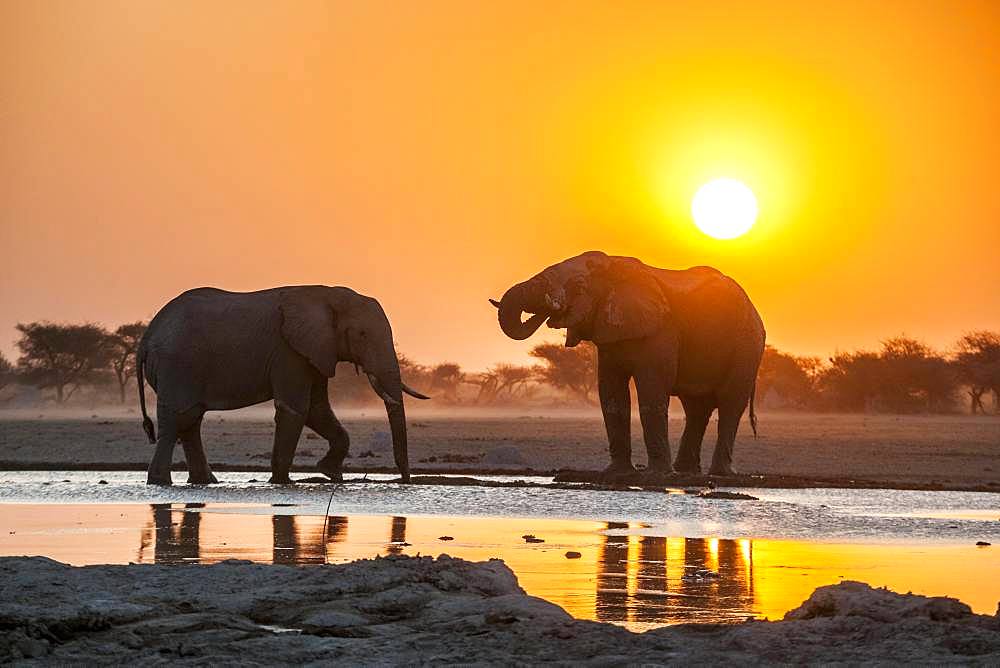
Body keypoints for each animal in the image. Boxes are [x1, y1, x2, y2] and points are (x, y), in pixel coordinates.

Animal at [136, 286, 426, 486]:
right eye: (363, 335)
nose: (404, 481)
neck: (329, 294)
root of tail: (147, 336)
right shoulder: (289, 352)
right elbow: (296, 409)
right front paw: (282, 483)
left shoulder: (315, 350)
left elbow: (316, 409)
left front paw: (330, 473)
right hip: (177, 366)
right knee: (178, 419)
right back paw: (160, 482)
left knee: (190, 419)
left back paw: (205, 482)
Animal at [492, 249, 764, 474]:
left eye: (579, 285)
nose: (549, 311)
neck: (613, 267)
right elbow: (611, 394)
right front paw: (617, 472)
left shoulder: (661, 330)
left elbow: (652, 390)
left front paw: (656, 476)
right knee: (696, 408)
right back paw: (686, 472)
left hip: (747, 346)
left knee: (730, 404)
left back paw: (718, 473)